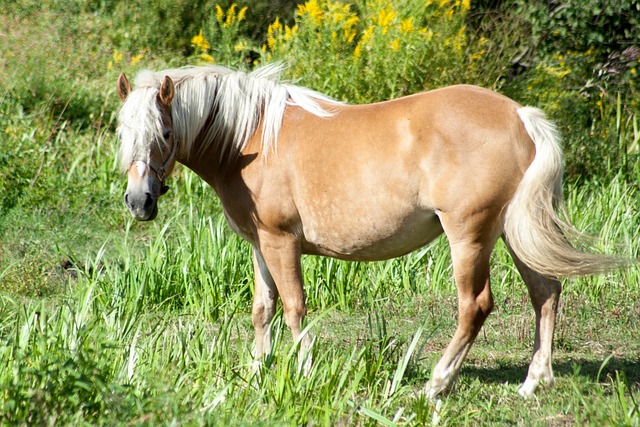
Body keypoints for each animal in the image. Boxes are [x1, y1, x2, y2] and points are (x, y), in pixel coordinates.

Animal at [114, 64, 624, 402]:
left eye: (164, 132)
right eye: (122, 133)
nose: (140, 202)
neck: (250, 139)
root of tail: (521, 116)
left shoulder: (281, 242)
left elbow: (295, 309)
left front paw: (303, 372)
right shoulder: (260, 245)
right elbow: (263, 310)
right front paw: (257, 373)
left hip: (471, 237)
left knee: (475, 306)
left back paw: (435, 384)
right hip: (513, 233)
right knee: (546, 292)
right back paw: (532, 382)